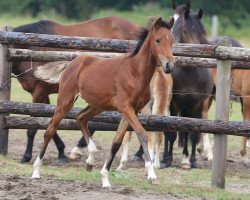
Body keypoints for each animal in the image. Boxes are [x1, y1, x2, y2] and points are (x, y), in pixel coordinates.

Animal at [12, 16, 140, 164]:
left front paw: (26, 156)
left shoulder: (39, 93)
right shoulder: (43, 95)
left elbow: (33, 128)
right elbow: (50, 123)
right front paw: (61, 152)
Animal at [31, 17, 176, 188]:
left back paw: (90, 160)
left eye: (172, 40)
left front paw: (105, 179)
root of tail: (72, 63)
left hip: (97, 105)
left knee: (80, 117)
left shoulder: (132, 110)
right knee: (49, 131)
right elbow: (142, 133)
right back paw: (36, 172)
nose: (169, 65)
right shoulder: (125, 107)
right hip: (65, 102)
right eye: (158, 40)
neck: (135, 72)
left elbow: (117, 142)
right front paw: (151, 175)